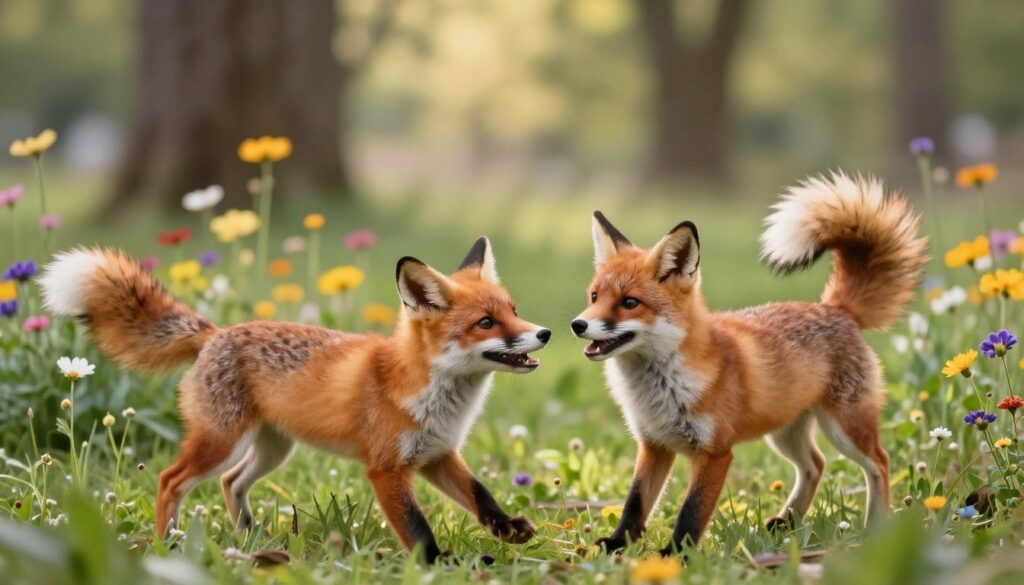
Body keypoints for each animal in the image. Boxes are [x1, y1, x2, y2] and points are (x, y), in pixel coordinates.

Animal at [40, 237, 551, 562]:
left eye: (514, 311)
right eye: (486, 323)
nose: (544, 332)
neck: (430, 394)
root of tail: (216, 332)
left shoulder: (438, 455)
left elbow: (481, 494)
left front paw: (507, 528)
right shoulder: (386, 469)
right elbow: (417, 528)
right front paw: (437, 566)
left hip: (272, 449)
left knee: (231, 482)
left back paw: (249, 538)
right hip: (222, 443)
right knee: (170, 479)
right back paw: (170, 544)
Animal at [571, 173, 926, 556]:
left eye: (629, 302)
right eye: (594, 297)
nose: (577, 324)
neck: (659, 388)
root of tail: (837, 308)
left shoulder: (715, 453)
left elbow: (691, 511)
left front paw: (676, 555)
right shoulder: (654, 445)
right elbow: (635, 503)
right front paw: (616, 545)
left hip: (844, 428)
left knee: (880, 463)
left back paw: (876, 527)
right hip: (785, 434)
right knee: (816, 465)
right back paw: (787, 521)